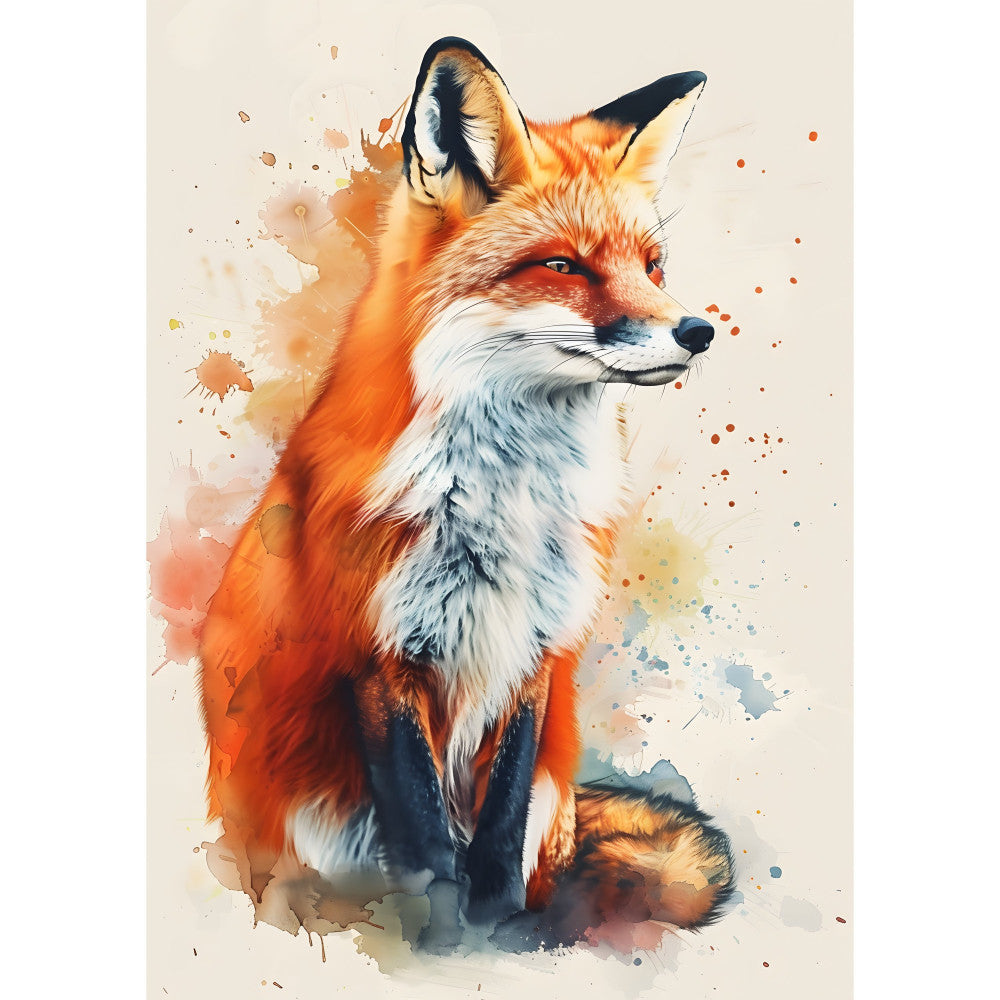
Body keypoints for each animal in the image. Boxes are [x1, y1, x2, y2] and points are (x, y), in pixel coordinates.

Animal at [198, 37, 734, 947]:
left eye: (652, 266)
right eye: (563, 266)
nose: (697, 332)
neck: (506, 506)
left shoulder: (536, 649)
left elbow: (499, 826)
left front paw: (496, 923)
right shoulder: (378, 655)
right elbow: (422, 845)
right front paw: (440, 937)